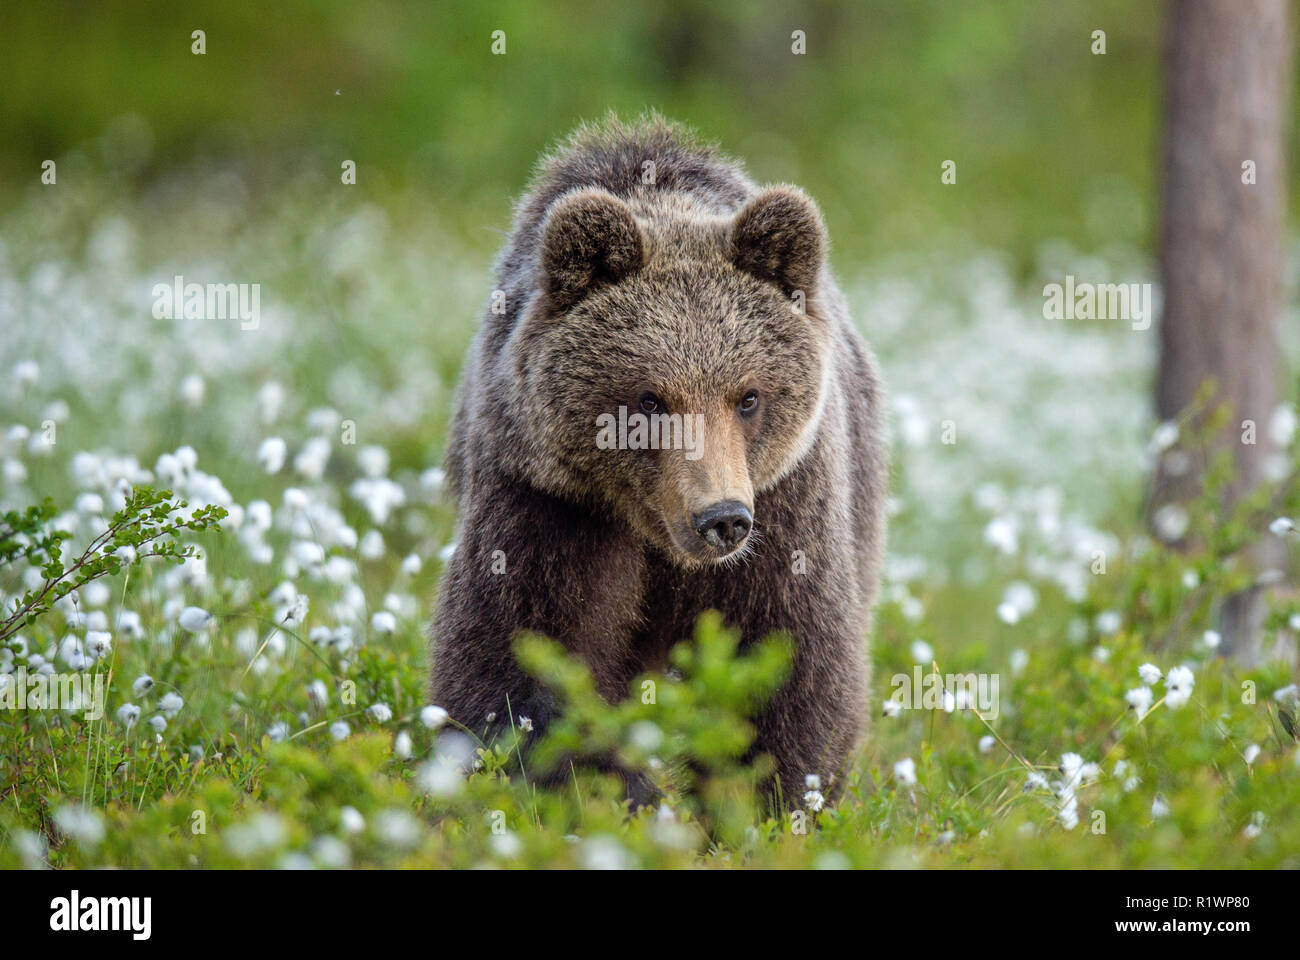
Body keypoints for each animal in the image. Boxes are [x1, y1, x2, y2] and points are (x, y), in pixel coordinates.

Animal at [431, 114, 888, 807]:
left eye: (748, 395)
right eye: (650, 398)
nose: (721, 518)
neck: (655, 536)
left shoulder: (786, 501)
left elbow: (792, 663)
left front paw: (766, 800)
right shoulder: (549, 499)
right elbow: (521, 659)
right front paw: (619, 791)